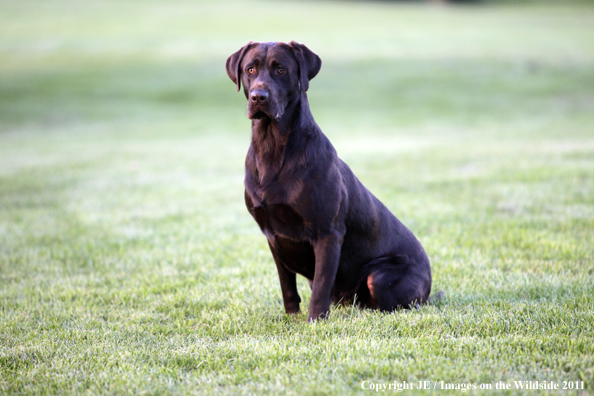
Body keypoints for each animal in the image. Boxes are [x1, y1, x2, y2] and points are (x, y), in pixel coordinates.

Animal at [224, 41, 432, 322]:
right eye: (250, 69)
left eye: (280, 69)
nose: (259, 97)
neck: (272, 147)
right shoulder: (272, 236)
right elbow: (287, 287)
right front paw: (292, 318)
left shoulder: (327, 233)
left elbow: (321, 286)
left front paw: (314, 322)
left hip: (380, 276)